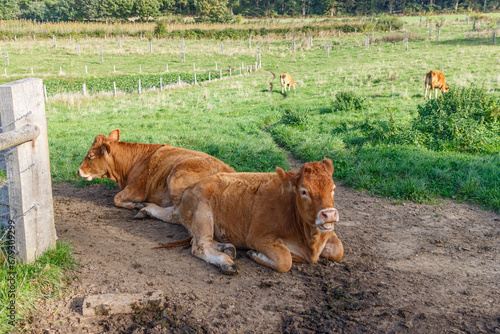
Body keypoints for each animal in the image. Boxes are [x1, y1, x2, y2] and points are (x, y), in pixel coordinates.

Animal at [76, 129, 236, 220]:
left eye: (90, 156)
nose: (78, 170)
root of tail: (230, 171)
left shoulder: (136, 189)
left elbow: (116, 198)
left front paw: (135, 205)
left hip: (176, 178)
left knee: (177, 214)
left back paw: (146, 210)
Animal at [168, 158, 344, 276]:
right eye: (304, 191)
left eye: (333, 188)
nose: (329, 214)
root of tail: (190, 187)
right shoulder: (257, 237)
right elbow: (284, 260)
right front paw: (255, 254)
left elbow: (338, 250)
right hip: (202, 215)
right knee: (201, 246)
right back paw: (226, 262)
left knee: (198, 241)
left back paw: (228, 248)